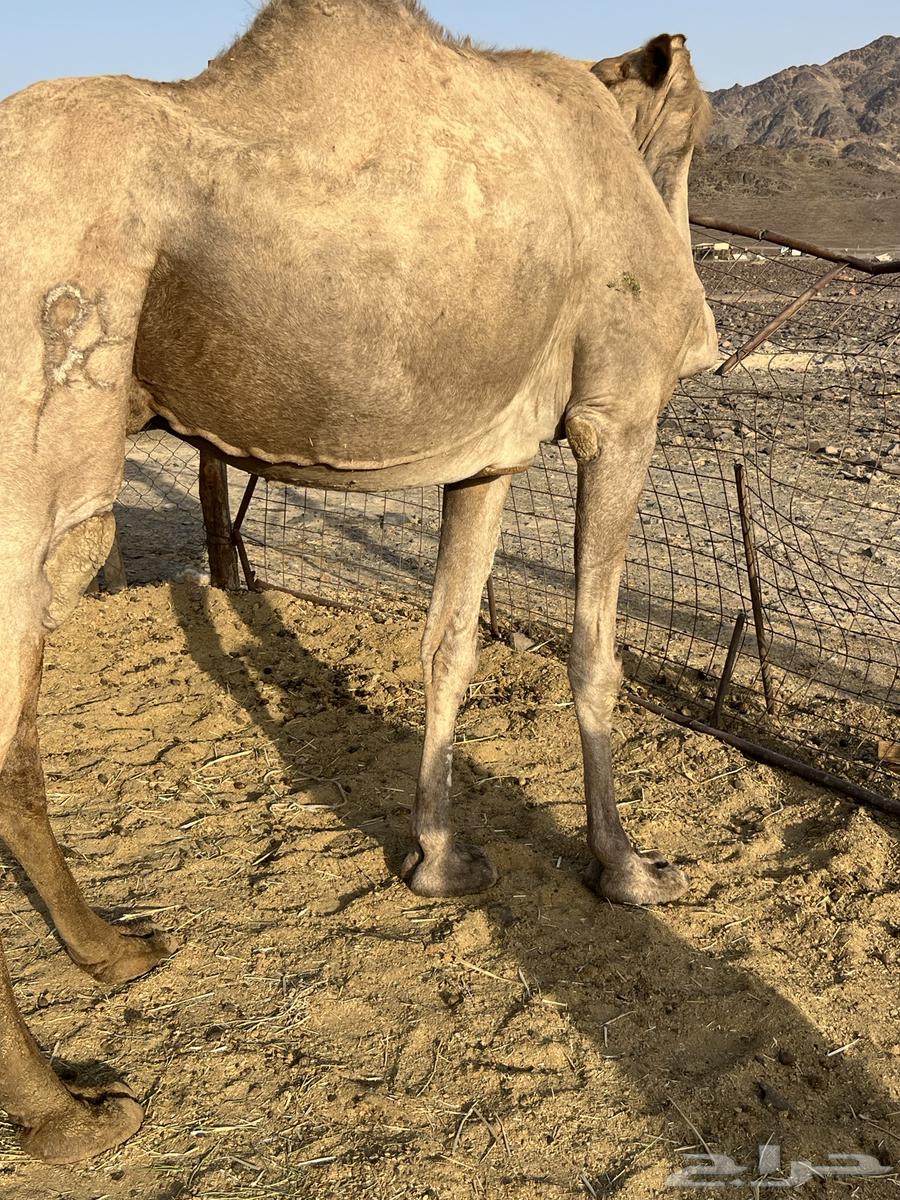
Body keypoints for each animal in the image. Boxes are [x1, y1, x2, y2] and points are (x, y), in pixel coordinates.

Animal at [0, 0, 717, 1163]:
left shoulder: (488, 456)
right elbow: (596, 652)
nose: (699, 335)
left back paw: (116, 951)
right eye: (689, 137)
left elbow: (449, 641)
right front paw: (631, 871)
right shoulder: (618, 417)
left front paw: (439, 861)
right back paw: (71, 1115)